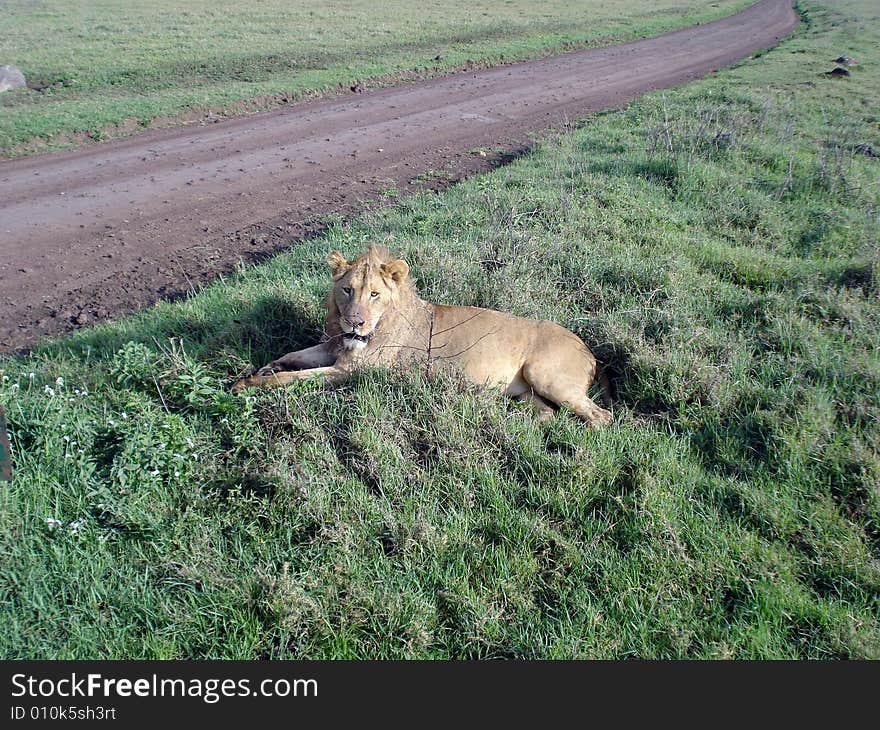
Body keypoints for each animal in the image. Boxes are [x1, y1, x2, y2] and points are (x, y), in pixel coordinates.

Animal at [237, 246, 616, 426]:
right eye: (347, 290)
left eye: (374, 294)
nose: (354, 323)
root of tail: (590, 351)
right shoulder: (335, 348)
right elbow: (293, 357)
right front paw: (262, 368)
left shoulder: (351, 370)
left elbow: (293, 378)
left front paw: (247, 384)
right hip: (527, 391)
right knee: (547, 414)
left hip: (545, 375)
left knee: (602, 418)